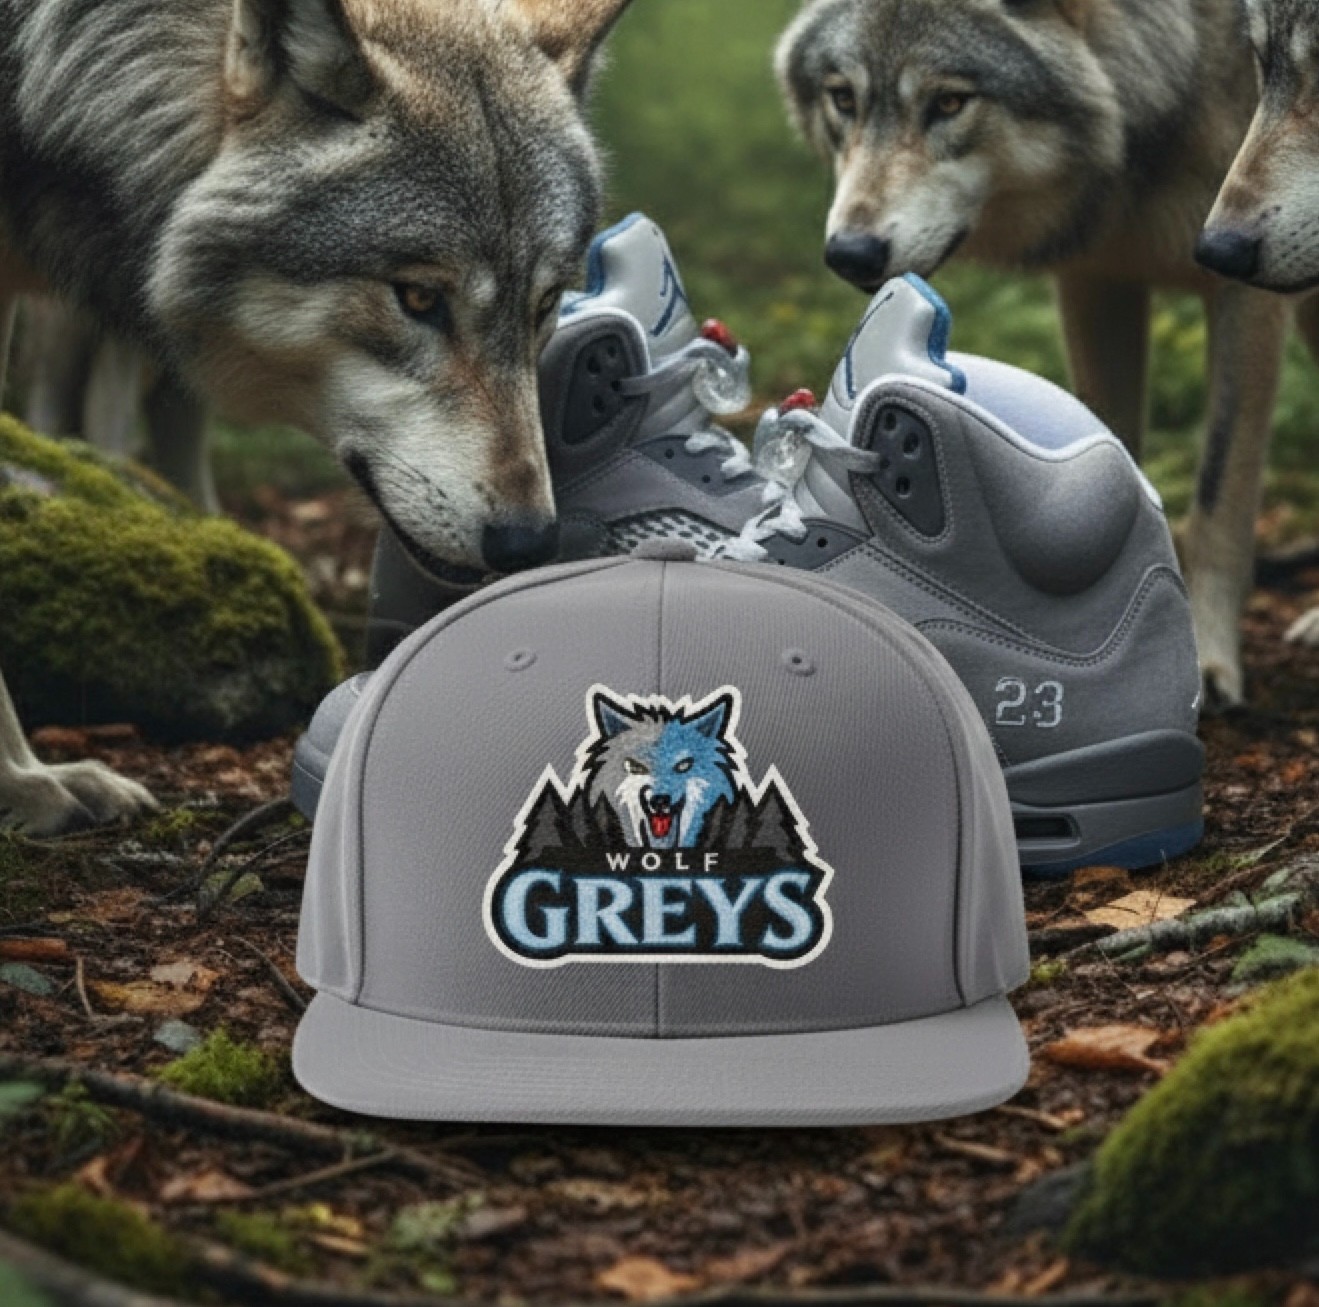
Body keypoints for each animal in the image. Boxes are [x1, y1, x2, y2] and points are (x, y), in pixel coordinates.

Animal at [776, 0, 1316, 708]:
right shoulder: (1098, 276)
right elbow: (1106, 445)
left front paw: (1205, 657)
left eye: (949, 102)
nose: (849, 254)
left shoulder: (1243, 286)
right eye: (844, 98)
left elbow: (1219, 491)